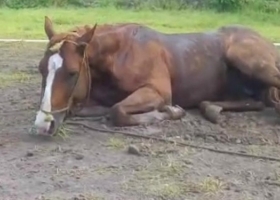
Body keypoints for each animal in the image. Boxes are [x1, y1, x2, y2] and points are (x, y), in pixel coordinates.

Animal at [33, 16, 280, 136]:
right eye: (41, 69)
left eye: (72, 73)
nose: (42, 126)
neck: (121, 53)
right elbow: (87, 109)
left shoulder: (157, 92)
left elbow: (118, 111)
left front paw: (171, 112)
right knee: (257, 101)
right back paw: (212, 109)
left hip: (246, 58)